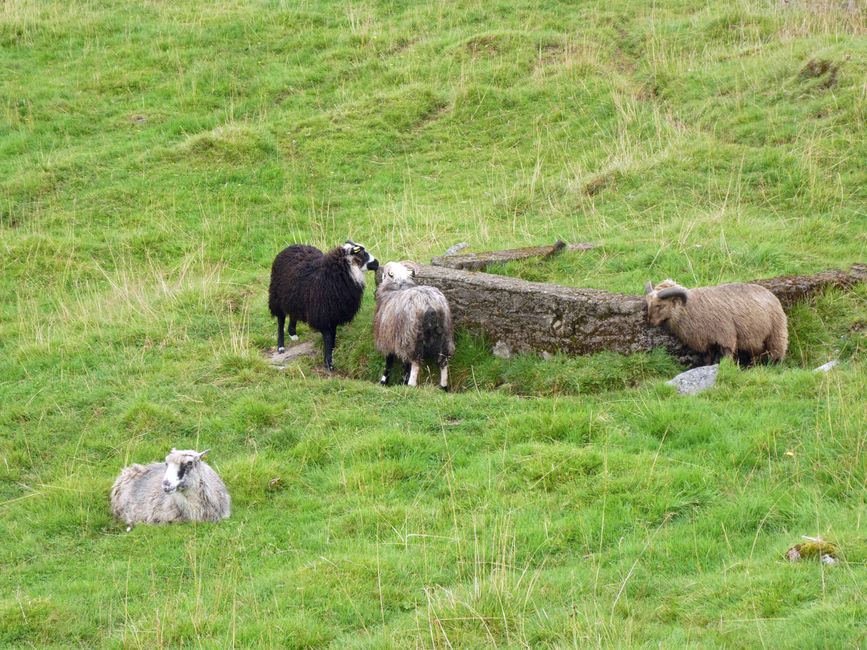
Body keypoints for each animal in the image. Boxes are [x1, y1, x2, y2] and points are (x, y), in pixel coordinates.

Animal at [270, 239, 378, 370]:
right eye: (361, 254)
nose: (377, 263)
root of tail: (291, 246)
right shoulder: (323, 314)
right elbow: (327, 336)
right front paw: (329, 362)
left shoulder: (335, 314)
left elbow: (333, 334)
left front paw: (332, 349)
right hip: (277, 297)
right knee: (281, 320)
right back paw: (281, 346)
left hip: (294, 298)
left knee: (293, 314)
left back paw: (292, 334)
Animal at [372, 260, 454, 390]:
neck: (399, 285)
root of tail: (429, 303)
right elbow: (405, 365)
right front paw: (402, 381)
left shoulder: (389, 340)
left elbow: (389, 362)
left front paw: (384, 381)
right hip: (444, 336)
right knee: (443, 362)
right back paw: (443, 386)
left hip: (412, 338)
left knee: (415, 363)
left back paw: (411, 385)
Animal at [640, 276, 792, 362]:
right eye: (648, 302)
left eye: (660, 305)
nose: (650, 322)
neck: (689, 310)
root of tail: (772, 294)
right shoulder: (705, 343)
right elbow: (708, 360)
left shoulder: (725, 339)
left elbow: (726, 359)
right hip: (755, 341)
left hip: (776, 333)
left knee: (777, 354)